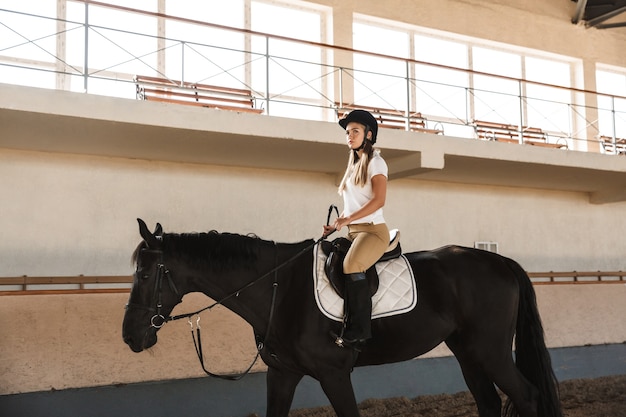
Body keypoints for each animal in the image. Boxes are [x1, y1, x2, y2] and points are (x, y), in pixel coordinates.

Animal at [122, 218, 560, 416]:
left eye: (144, 274)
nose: (130, 336)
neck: (280, 289)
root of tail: (500, 262)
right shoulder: (283, 374)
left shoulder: (334, 374)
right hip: (468, 353)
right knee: (489, 401)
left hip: (491, 352)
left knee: (526, 395)